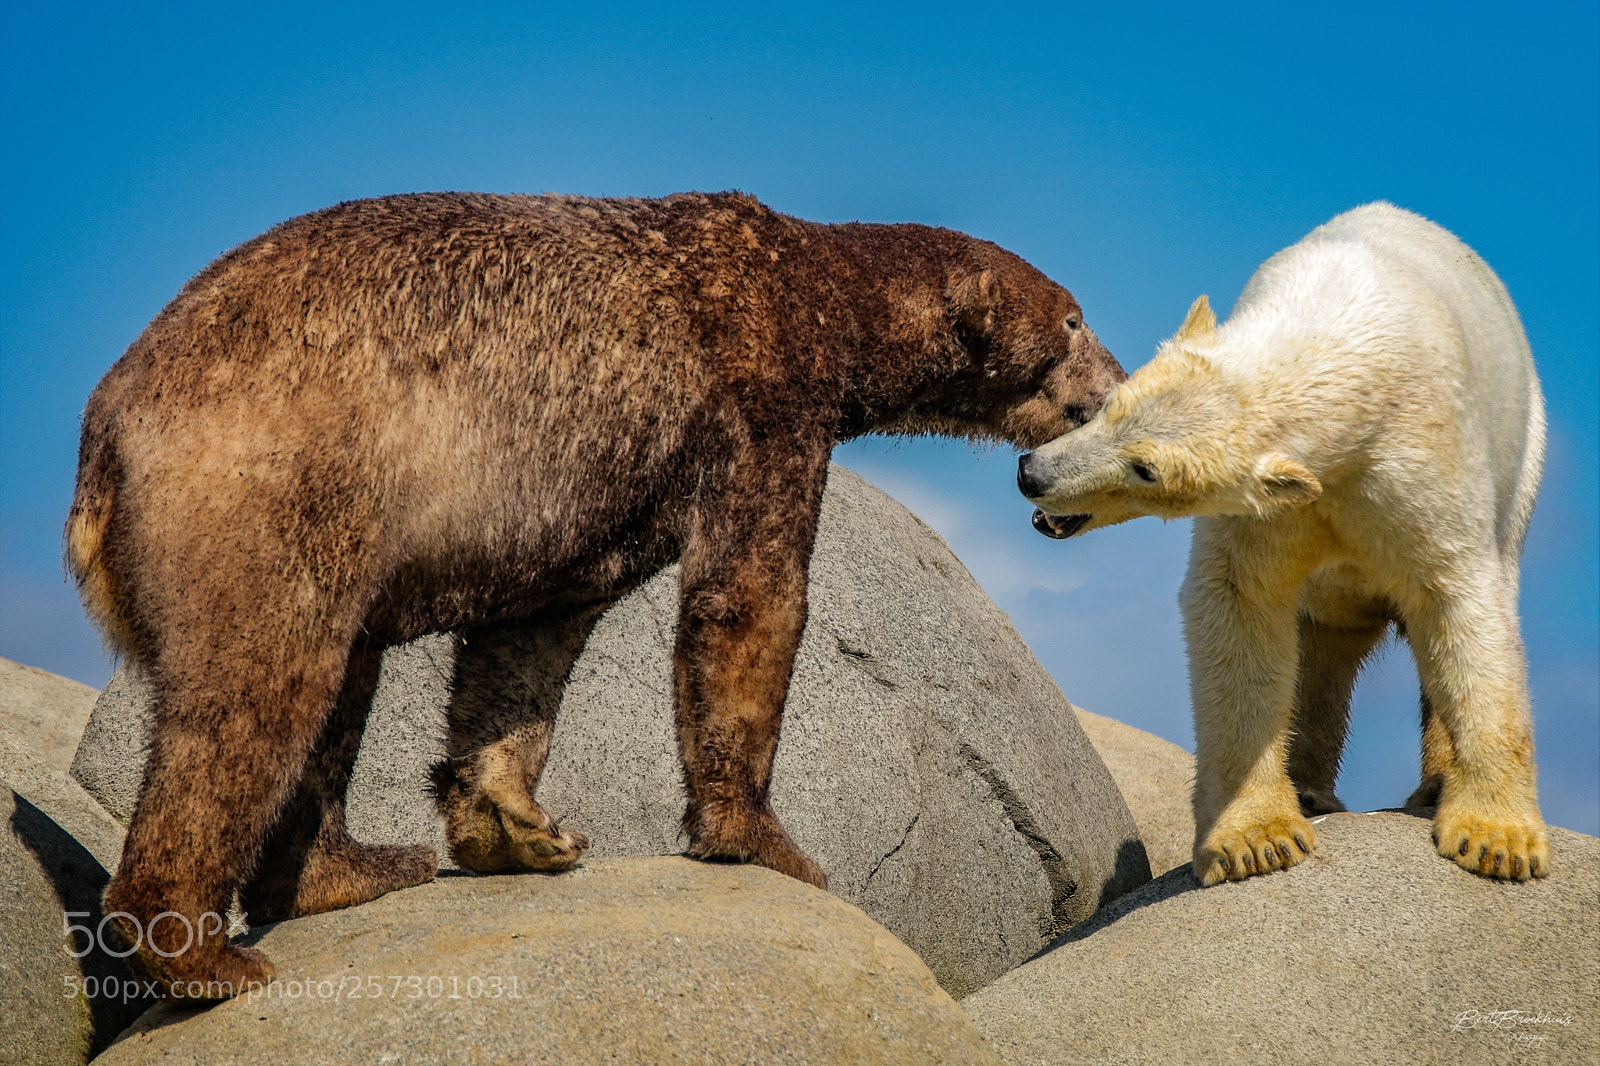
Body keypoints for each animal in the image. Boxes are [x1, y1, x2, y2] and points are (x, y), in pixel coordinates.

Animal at [66, 190, 1125, 994]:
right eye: (1074, 319)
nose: (1115, 381)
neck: (815, 293)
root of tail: (107, 432)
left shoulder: (594, 499)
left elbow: (532, 636)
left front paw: (516, 824)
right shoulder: (758, 401)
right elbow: (749, 596)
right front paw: (767, 842)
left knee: (337, 681)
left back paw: (356, 866)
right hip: (278, 481)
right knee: (259, 688)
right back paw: (200, 954)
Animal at [1015, 202, 1548, 887]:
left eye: (1146, 469)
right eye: (1109, 405)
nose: (1033, 473)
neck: (1336, 336)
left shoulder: (1423, 461)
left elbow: (1460, 601)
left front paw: (1498, 840)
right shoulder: (1268, 511)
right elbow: (1240, 601)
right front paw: (1257, 839)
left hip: (1525, 460)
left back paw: (1432, 785)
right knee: (1323, 642)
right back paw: (1311, 788)